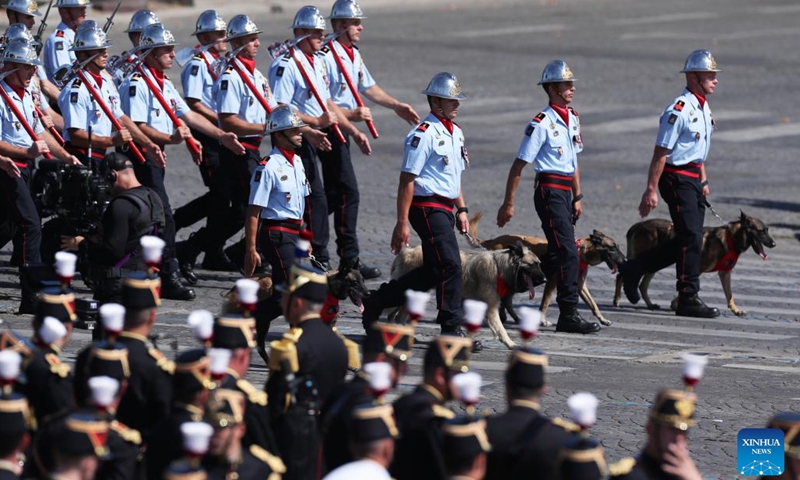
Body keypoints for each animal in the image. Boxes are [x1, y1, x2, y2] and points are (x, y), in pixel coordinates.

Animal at [468, 213, 624, 326]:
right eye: (613, 247)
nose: (625, 261)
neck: (580, 251)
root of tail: (493, 240)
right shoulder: (552, 282)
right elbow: (545, 303)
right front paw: (542, 321)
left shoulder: (580, 286)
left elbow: (593, 304)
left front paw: (602, 319)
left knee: (506, 301)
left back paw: (513, 318)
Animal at [612, 210, 776, 316]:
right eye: (761, 231)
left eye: (767, 230)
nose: (774, 244)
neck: (732, 237)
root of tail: (637, 226)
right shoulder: (698, 269)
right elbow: (686, 286)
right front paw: (678, 304)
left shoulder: (725, 273)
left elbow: (729, 294)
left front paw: (735, 309)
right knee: (622, 275)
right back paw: (617, 300)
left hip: (654, 263)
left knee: (642, 285)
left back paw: (650, 304)